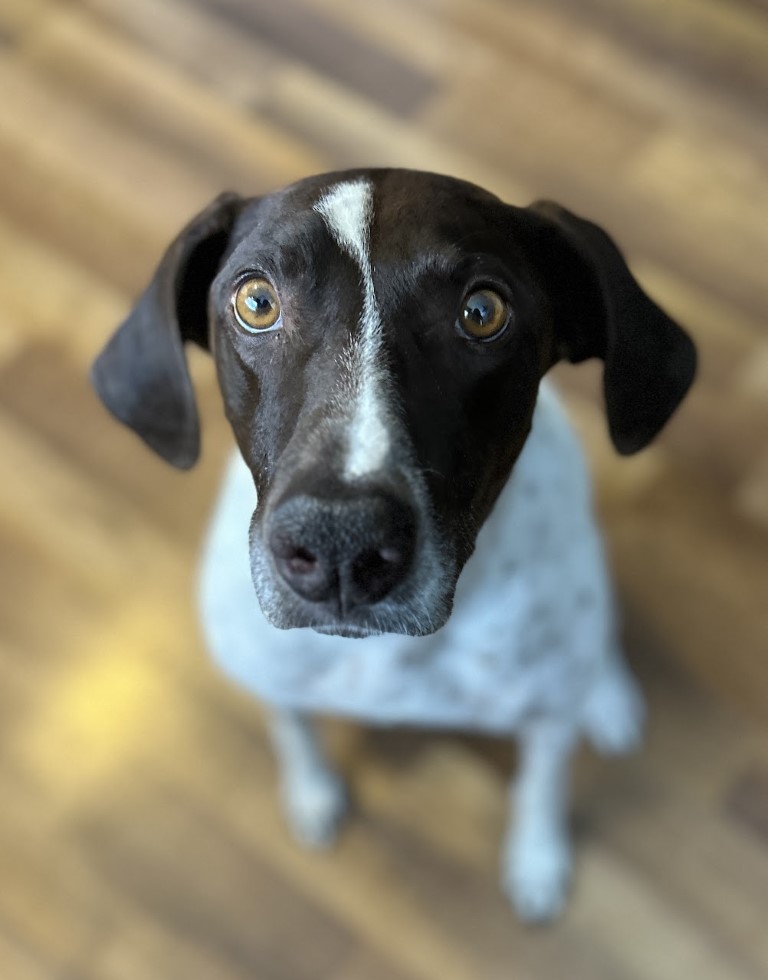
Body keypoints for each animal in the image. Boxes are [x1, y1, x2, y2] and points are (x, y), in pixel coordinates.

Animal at [91, 168, 696, 920]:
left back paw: (608, 696)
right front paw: (313, 792)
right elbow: (294, 732)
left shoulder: (546, 722)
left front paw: (537, 860)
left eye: (482, 311)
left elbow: (539, 788)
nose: (340, 541)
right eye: (256, 302)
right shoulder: (269, 677)